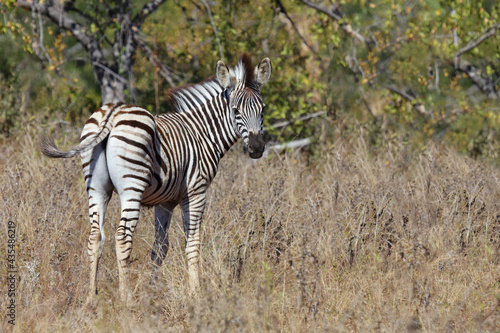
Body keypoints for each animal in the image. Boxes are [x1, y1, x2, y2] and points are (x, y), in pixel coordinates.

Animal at [41, 53, 272, 302]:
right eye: (236, 111)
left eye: (263, 109)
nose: (257, 148)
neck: (202, 134)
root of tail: (113, 112)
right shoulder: (195, 192)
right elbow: (193, 243)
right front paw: (196, 293)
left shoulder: (165, 201)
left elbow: (160, 247)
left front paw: (153, 291)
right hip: (132, 186)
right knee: (122, 236)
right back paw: (126, 299)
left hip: (96, 187)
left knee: (95, 236)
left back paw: (91, 297)